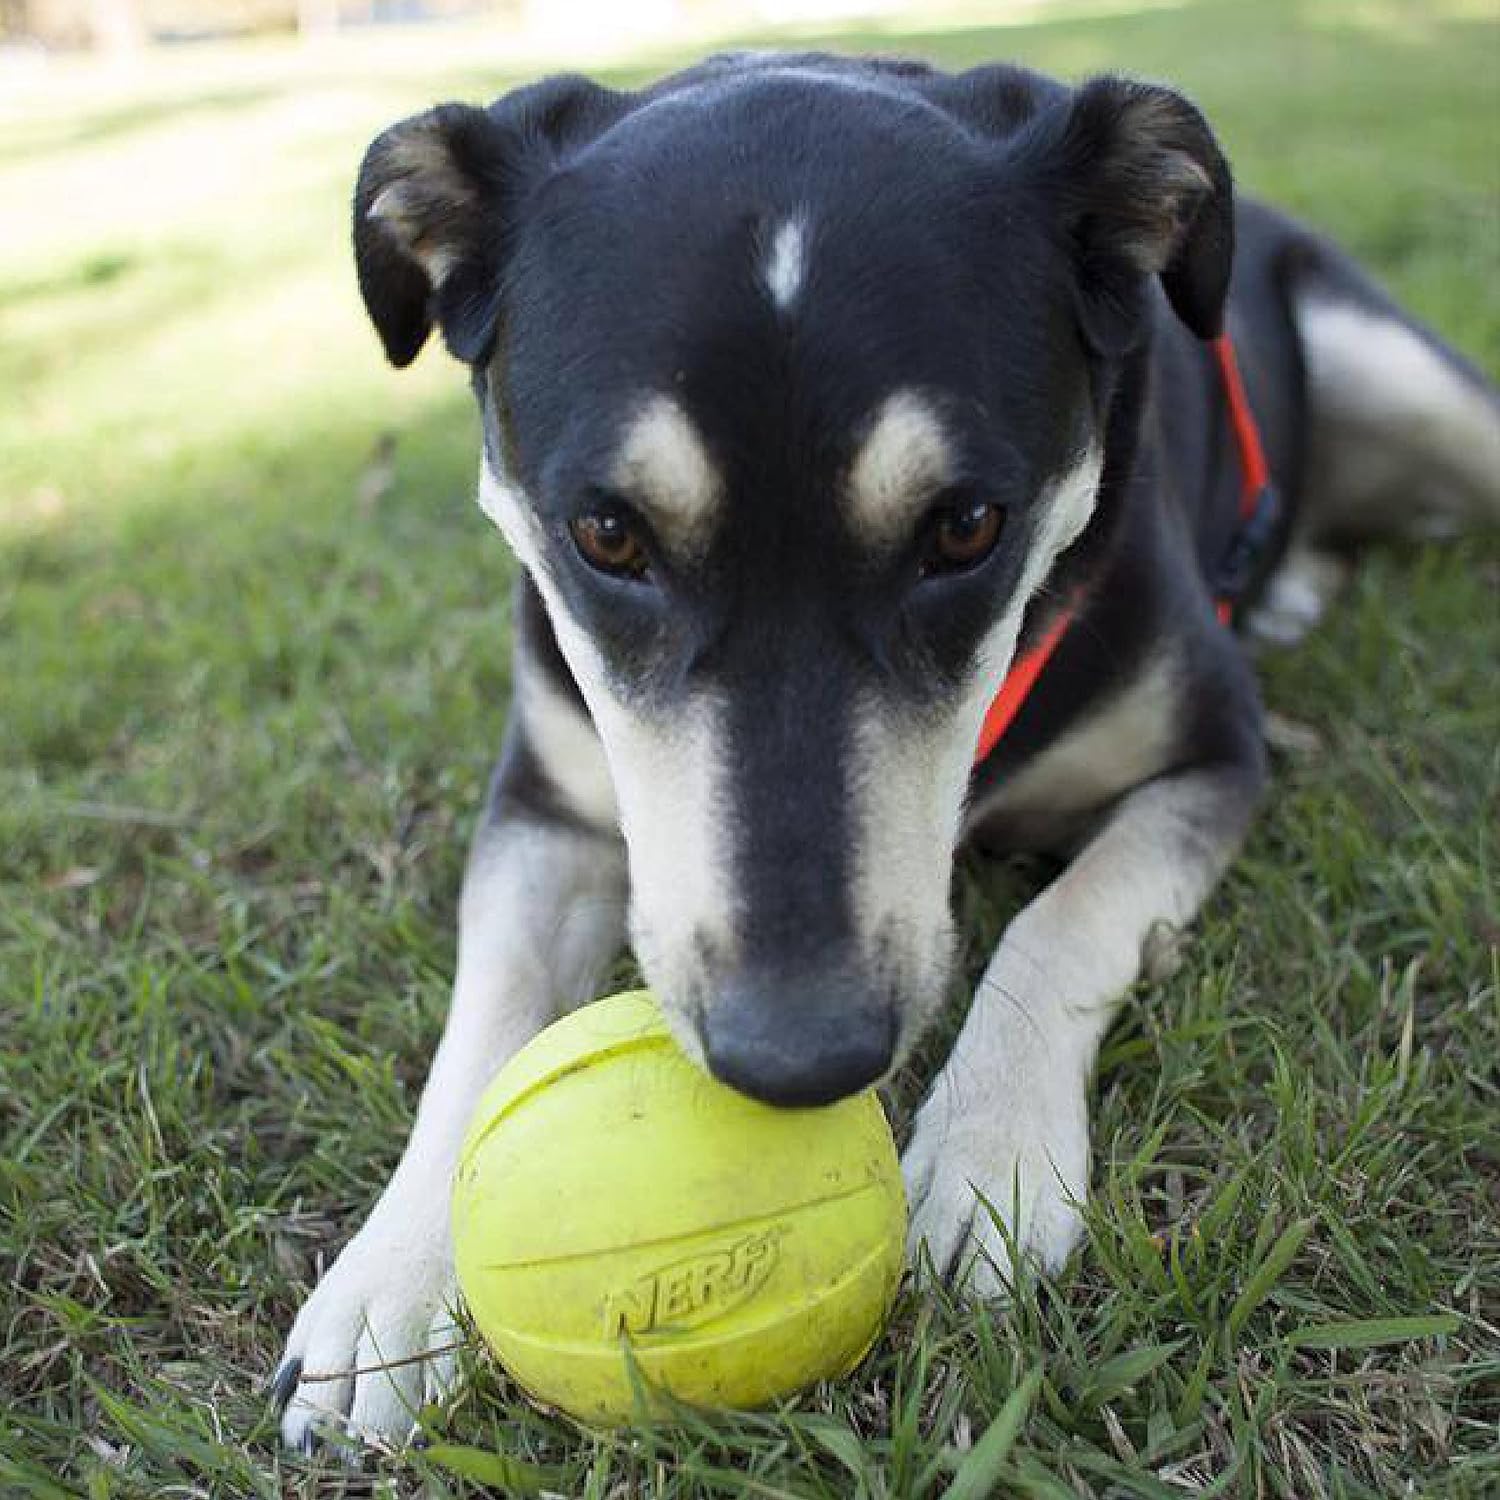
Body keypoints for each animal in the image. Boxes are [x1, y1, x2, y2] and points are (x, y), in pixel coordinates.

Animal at [270, 52, 1500, 1446]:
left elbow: (1065, 917)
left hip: (1407, 382)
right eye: (607, 534)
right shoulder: (544, 803)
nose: (798, 1056)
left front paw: (991, 1153)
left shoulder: (1214, 756)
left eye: (967, 526)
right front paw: (388, 1285)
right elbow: (481, 1022)